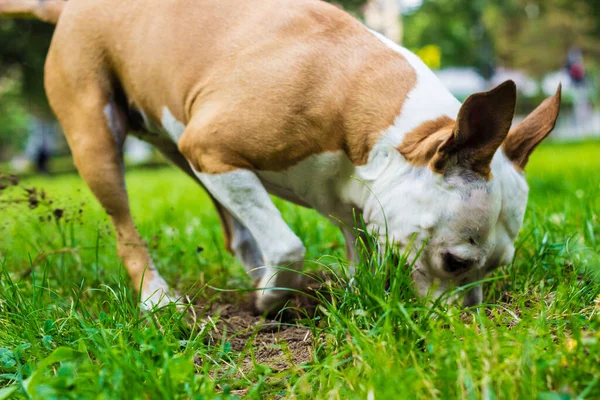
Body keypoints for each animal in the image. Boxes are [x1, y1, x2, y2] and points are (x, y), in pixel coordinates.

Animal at [2, 0, 560, 312]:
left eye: (497, 268)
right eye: (454, 261)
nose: (466, 319)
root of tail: (68, 8)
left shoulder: (355, 200)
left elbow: (357, 242)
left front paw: (349, 289)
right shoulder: (213, 149)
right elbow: (291, 246)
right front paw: (274, 299)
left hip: (184, 154)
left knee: (236, 230)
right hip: (98, 139)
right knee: (125, 226)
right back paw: (158, 297)